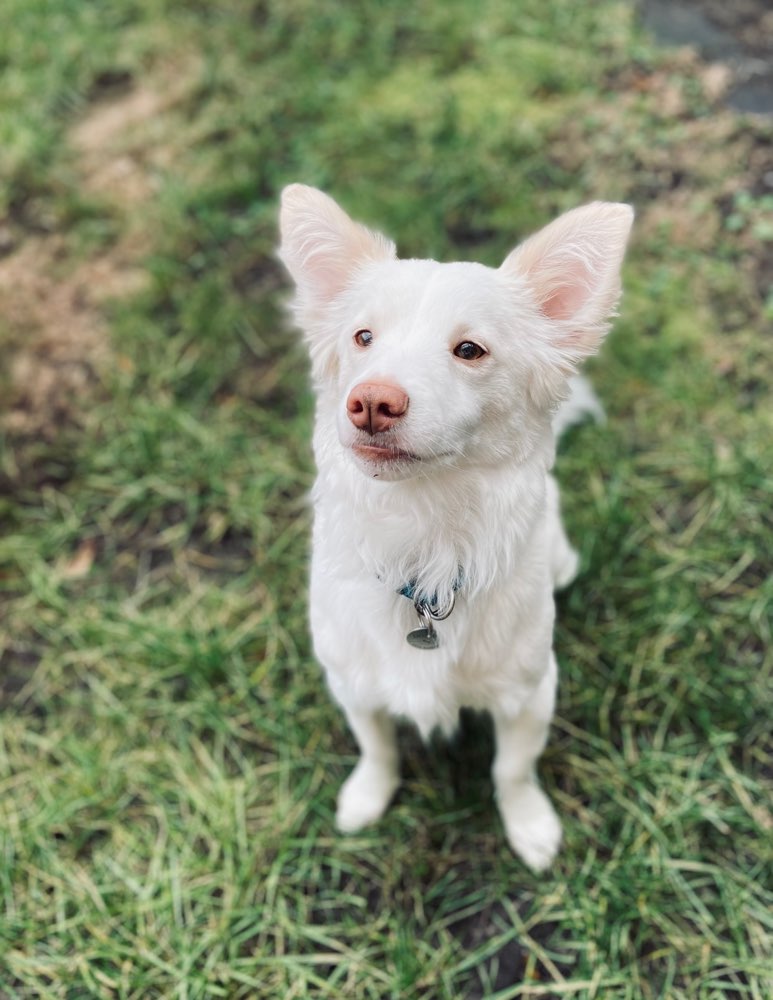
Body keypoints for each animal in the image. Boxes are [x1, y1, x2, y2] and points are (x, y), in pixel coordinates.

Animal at [280, 186, 632, 868]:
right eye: (363, 337)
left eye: (470, 351)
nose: (371, 401)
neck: (423, 536)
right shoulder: (353, 684)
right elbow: (378, 747)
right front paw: (368, 796)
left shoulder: (531, 694)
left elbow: (511, 771)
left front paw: (528, 825)